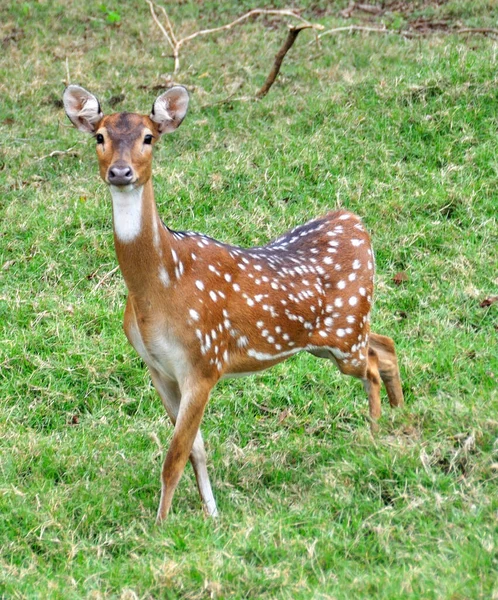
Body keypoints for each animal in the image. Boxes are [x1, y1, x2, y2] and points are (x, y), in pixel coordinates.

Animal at [63, 83, 404, 520]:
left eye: (149, 137)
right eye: (100, 136)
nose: (120, 172)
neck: (159, 290)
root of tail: (356, 222)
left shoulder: (204, 361)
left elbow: (174, 456)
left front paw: (160, 525)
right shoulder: (157, 367)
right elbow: (195, 449)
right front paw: (212, 515)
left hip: (345, 335)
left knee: (373, 364)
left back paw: (375, 435)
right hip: (336, 336)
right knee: (386, 344)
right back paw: (398, 416)